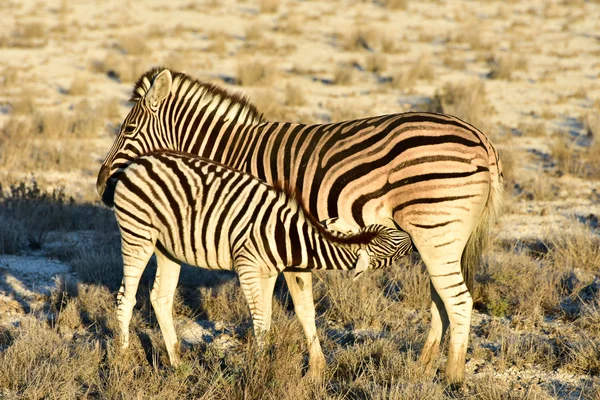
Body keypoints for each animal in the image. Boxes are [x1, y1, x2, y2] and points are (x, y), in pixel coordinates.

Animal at [111, 151, 412, 368]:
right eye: (397, 247)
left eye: (396, 236)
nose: (411, 234)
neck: (289, 237)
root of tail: (138, 162)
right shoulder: (247, 268)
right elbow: (258, 321)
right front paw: (260, 369)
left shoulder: (268, 273)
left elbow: (266, 321)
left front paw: (262, 361)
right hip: (137, 235)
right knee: (125, 298)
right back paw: (123, 359)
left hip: (167, 248)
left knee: (160, 299)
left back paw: (176, 364)